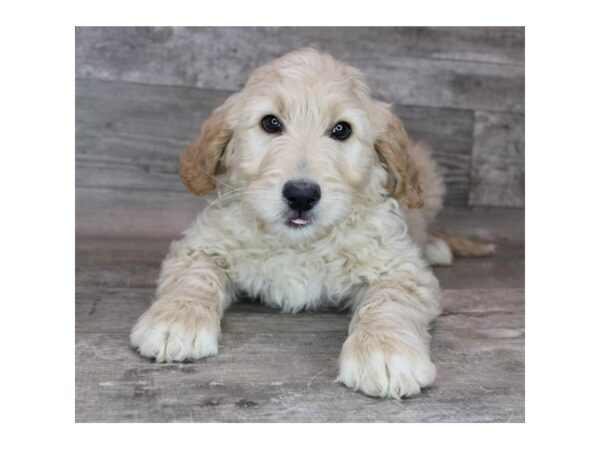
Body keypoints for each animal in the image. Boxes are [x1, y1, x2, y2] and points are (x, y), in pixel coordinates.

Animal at [130, 49, 488, 400]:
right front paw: (176, 319)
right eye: (270, 123)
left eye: (342, 129)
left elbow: (390, 300)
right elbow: (195, 275)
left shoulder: (399, 266)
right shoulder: (203, 244)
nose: (301, 196)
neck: (298, 242)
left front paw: (385, 350)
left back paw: (436, 246)